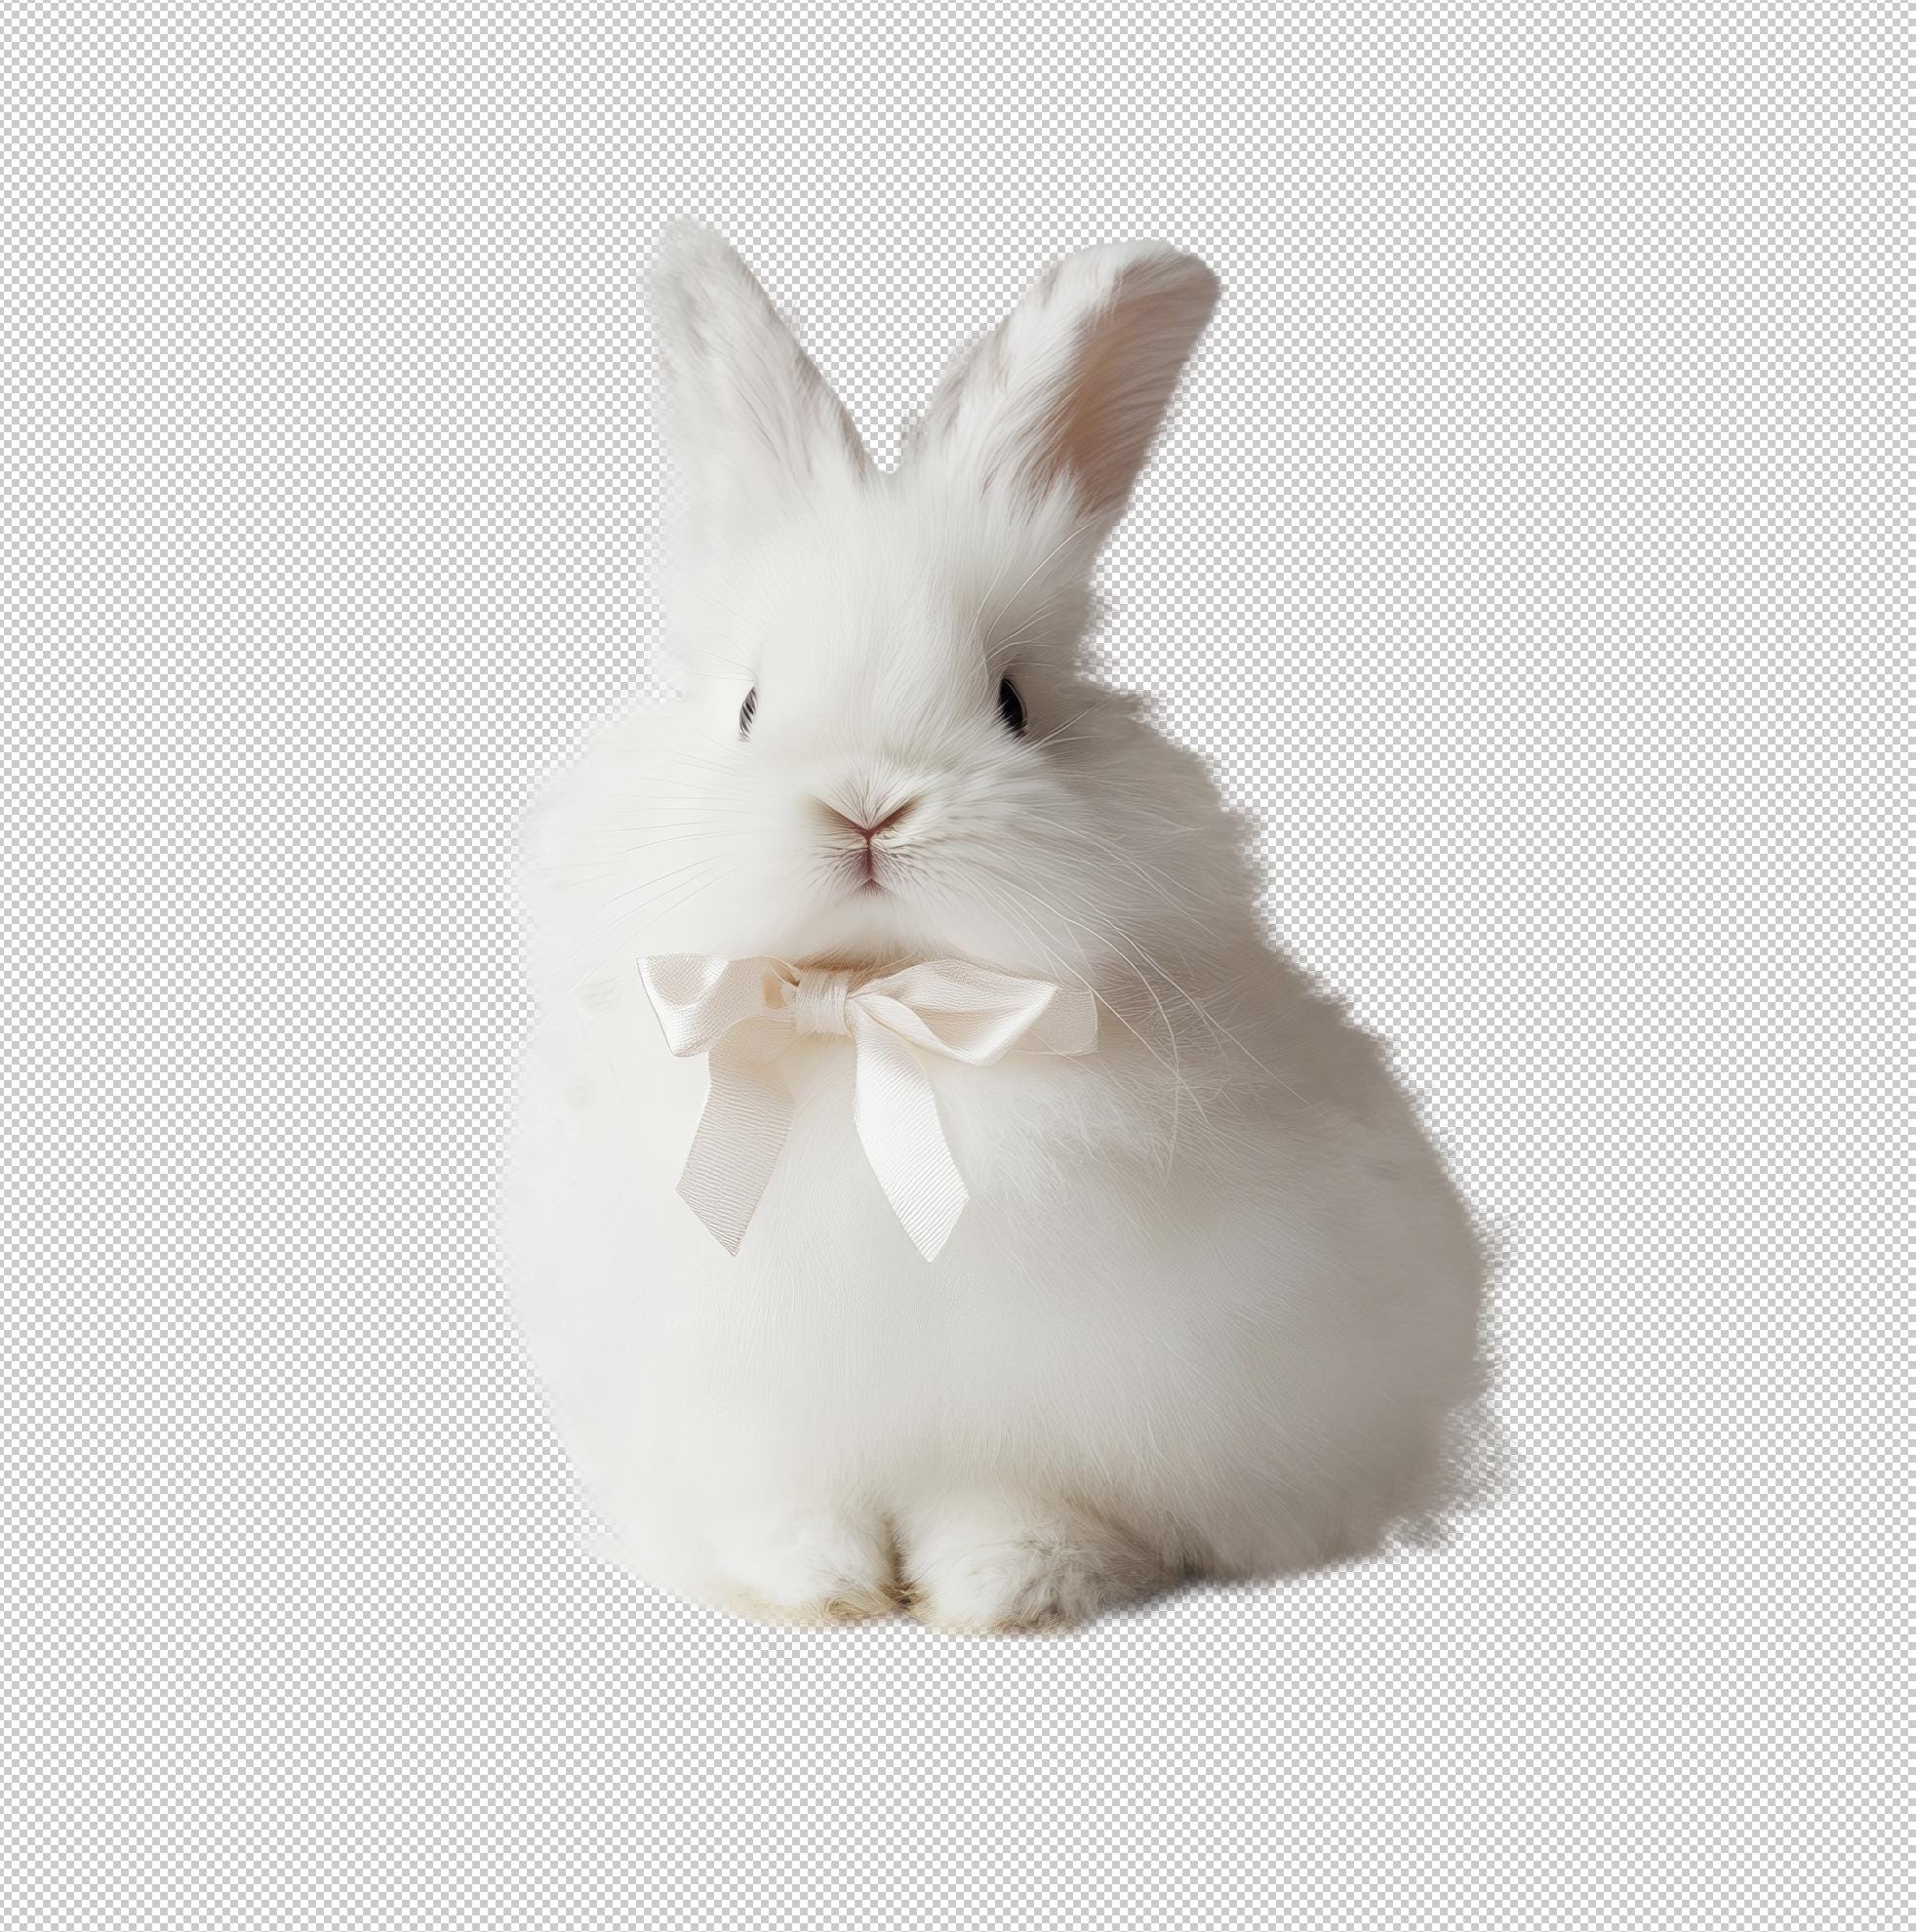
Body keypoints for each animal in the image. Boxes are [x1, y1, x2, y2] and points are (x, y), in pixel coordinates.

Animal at [498, 221, 1487, 1633]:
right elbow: (789, 1504)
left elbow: (1013, 1498)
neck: (870, 1021)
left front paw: (1006, 1586)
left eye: (1014, 701)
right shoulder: (746, 1407)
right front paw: (815, 1585)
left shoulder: (1060, 1400)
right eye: (747, 707)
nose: (867, 804)